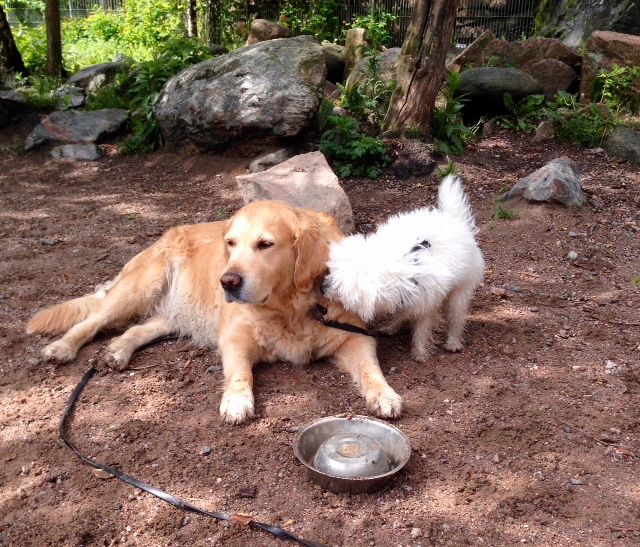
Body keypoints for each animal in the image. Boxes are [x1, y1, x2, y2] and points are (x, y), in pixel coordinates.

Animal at [26, 200, 402, 424]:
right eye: (231, 244)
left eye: (265, 244)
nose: (228, 280)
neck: (290, 308)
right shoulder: (234, 337)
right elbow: (240, 372)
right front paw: (237, 402)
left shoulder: (354, 337)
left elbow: (370, 369)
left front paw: (384, 395)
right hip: (138, 288)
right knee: (94, 320)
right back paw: (62, 347)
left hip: (175, 313)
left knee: (136, 329)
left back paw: (117, 351)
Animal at [323, 175, 485, 362]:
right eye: (331, 273)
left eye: (340, 286)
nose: (322, 288)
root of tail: (455, 219)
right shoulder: (406, 295)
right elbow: (403, 313)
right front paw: (394, 327)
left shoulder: (424, 301)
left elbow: (422, 328)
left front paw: (420, 351)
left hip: (460, 291)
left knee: (456, 317)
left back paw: (453, 341)